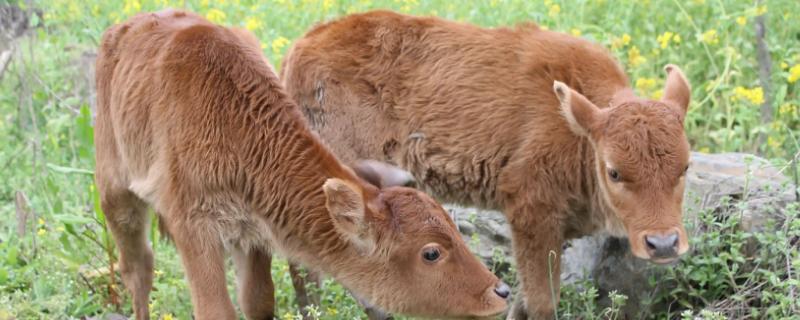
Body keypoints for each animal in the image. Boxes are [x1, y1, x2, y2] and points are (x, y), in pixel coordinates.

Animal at [92, 10, 506, 320]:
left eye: (454, 228)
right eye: (431, 252)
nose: (500, 290)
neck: (235, 123)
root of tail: (122, 30)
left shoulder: (252, 232)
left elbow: (258, 301)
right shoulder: (194, 229)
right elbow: (216, 310)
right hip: (117, 196)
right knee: (137, 268)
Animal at [282, 11, 692, 318]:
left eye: (685, 167)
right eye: (614, 171)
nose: (663, 244)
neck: (575, 128)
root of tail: (301, 47)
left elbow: (522, 298)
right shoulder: (531, 212)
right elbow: (542, 301)